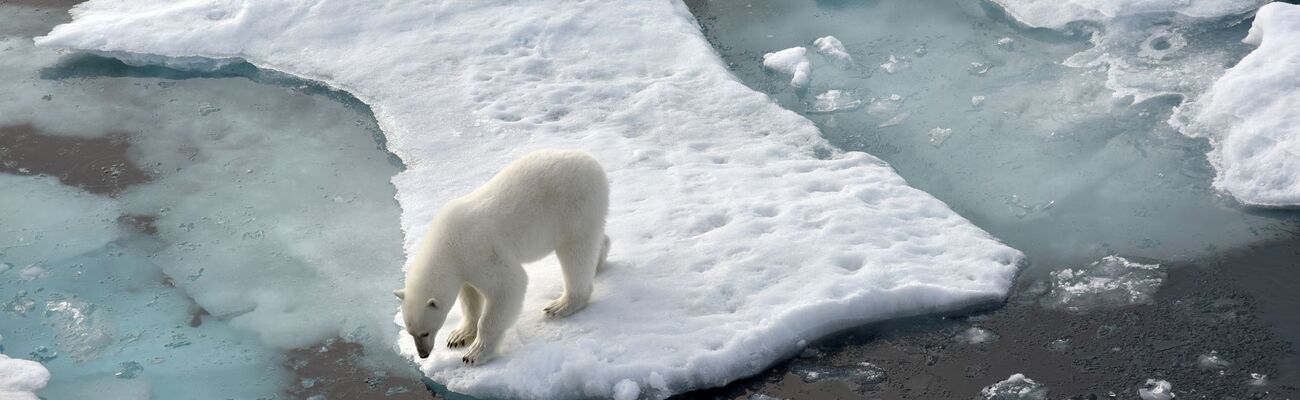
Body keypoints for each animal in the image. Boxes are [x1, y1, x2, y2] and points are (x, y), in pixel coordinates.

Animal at [392, 148, 611, 363]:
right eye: (411, 332)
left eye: (425, 332)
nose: (423, 354)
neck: (447, 243)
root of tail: (594, 164)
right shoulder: (464, 266)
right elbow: (470, 297)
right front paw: (458, 336)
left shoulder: (479, 250)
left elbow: (508, 285)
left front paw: (475, 353)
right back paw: (599, 261)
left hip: (574, 205)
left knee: (576, 252)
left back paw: (562, 305)